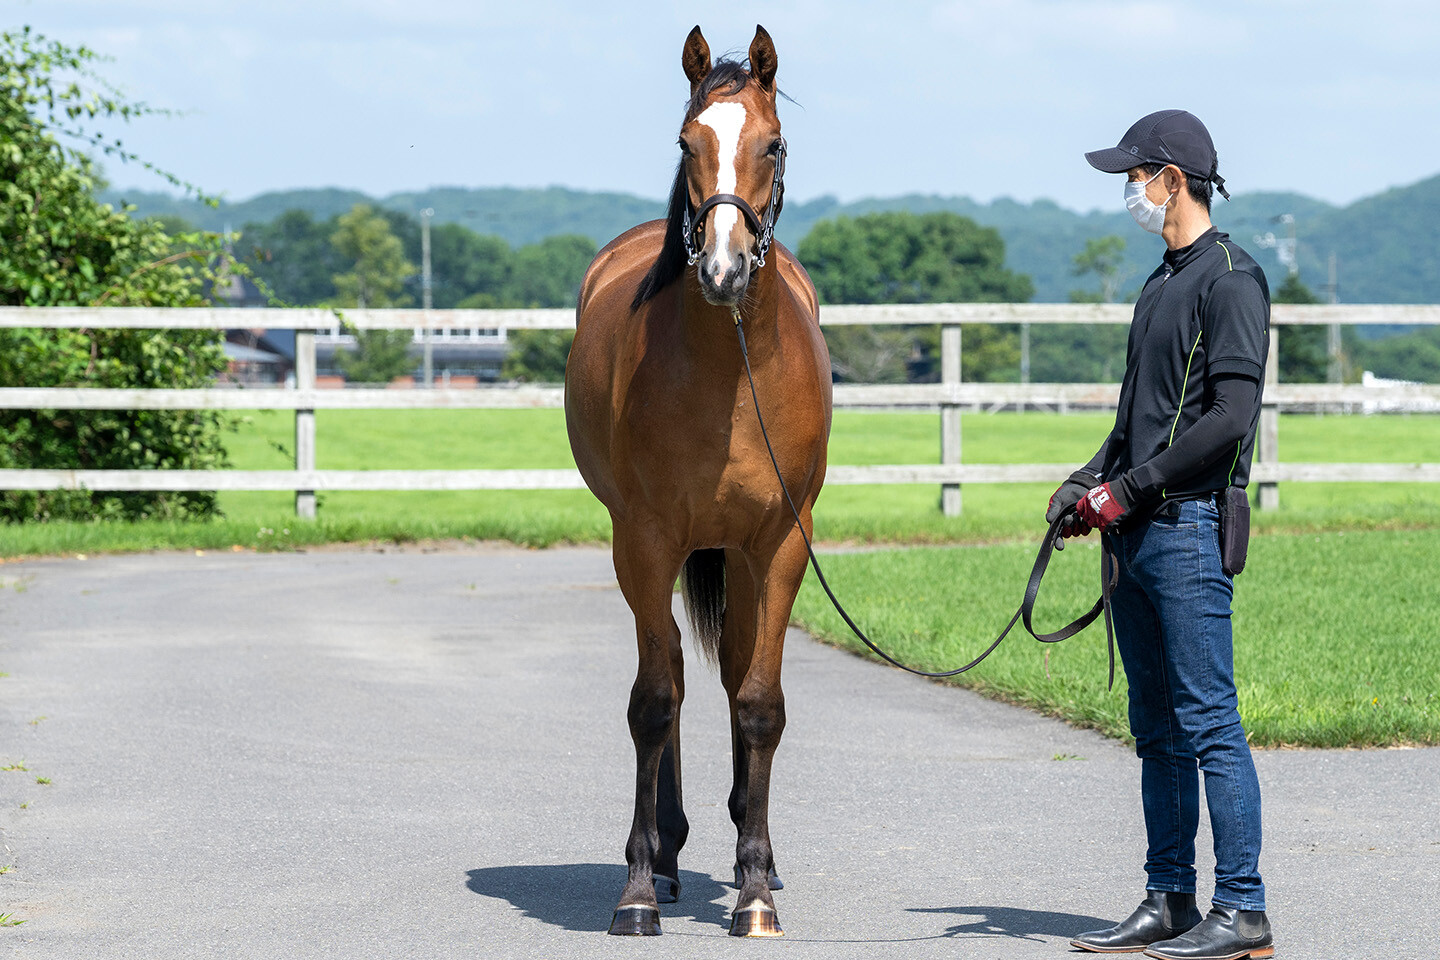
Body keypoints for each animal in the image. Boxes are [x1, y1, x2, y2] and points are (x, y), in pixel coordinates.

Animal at [564, 24, 831, 939]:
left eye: (773, 143)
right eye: (687, 144)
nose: (722, 269)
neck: (727, 375)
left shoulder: (780, 544)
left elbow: (760, 702)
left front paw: (754, 891)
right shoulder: (644, 541)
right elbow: (653, 700)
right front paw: (639, 889)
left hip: (741, 558)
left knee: (730, 671)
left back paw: (760, 854)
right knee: (676, 674)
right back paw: (669, 851)